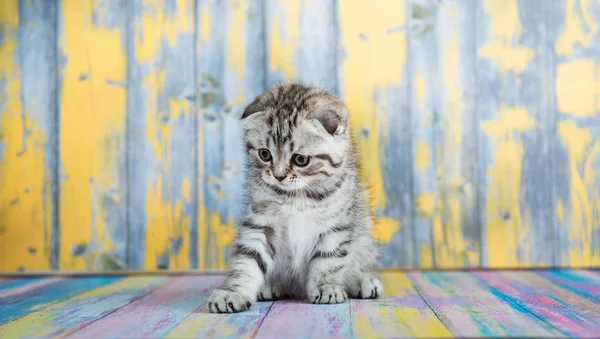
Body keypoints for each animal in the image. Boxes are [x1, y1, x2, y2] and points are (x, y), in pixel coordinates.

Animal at [206, 82, 384, 314]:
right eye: (265, 154)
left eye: (300, 160)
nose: (279, 175)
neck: (297, 196)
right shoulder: (260, 222)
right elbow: (247, 260)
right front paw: (233, 292)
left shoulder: (335, 226)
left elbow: (328, 261)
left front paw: (327, 287)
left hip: (365, 235)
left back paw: (363, 281)